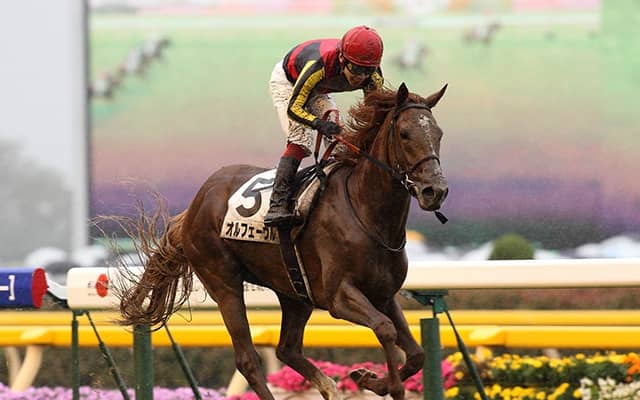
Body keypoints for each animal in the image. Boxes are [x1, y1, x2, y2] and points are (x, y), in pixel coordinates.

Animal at [115, 82, 449, 400]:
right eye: (405, 134)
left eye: (439, 134)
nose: (435, 190)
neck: (367, 213)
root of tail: (195, 205)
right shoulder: (339, 297)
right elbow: (384, 329)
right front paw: (385, 384)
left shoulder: (384, 295)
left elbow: (416, 354)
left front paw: (366, 378)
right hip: (223, 282)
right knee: (248, 359)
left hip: (294, 291)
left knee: (287, 348)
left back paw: (329, 387)